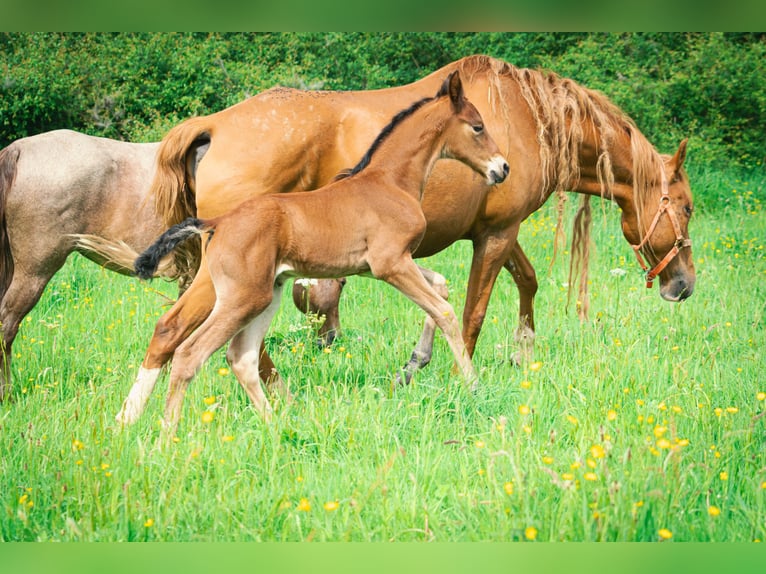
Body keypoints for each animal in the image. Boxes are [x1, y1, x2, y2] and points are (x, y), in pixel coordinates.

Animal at [84, 54, 695, 390]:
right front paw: (455, 373)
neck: (528, 117)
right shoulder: (496, 234)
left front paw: (506, 352)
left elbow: (522, 282)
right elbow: (471, 313)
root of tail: (212, 124)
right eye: (687, 206)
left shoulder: (493, 233)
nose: (684, 284)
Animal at [117, 71, 509, 429]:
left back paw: (276, 424)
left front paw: (414, 364)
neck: (390, 181)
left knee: (240, 356)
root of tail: (216, 223)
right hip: (241, 298)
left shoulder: (385, 265)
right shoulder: (390, 264)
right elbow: (445, 311)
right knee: (189, 352)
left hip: (267, 294)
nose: (502, 168)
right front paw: (472, 385)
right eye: (477, 127)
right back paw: (167, 433)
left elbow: (440, 286)